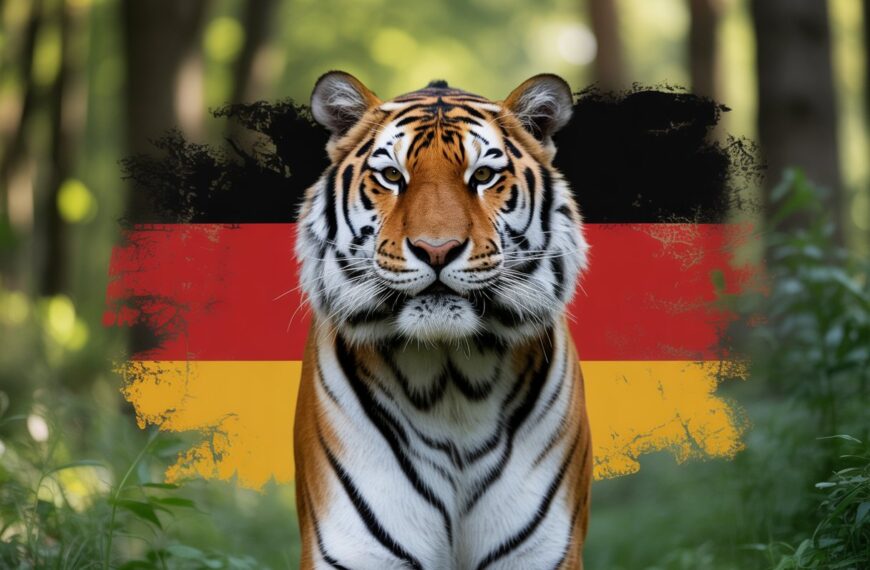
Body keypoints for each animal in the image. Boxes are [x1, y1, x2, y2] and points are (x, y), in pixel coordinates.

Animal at [293, 70, 592, 570]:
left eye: (483, 176)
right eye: (392, 176)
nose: (437, 249)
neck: (451, 381)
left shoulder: (540, 553)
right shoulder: (356, 550)